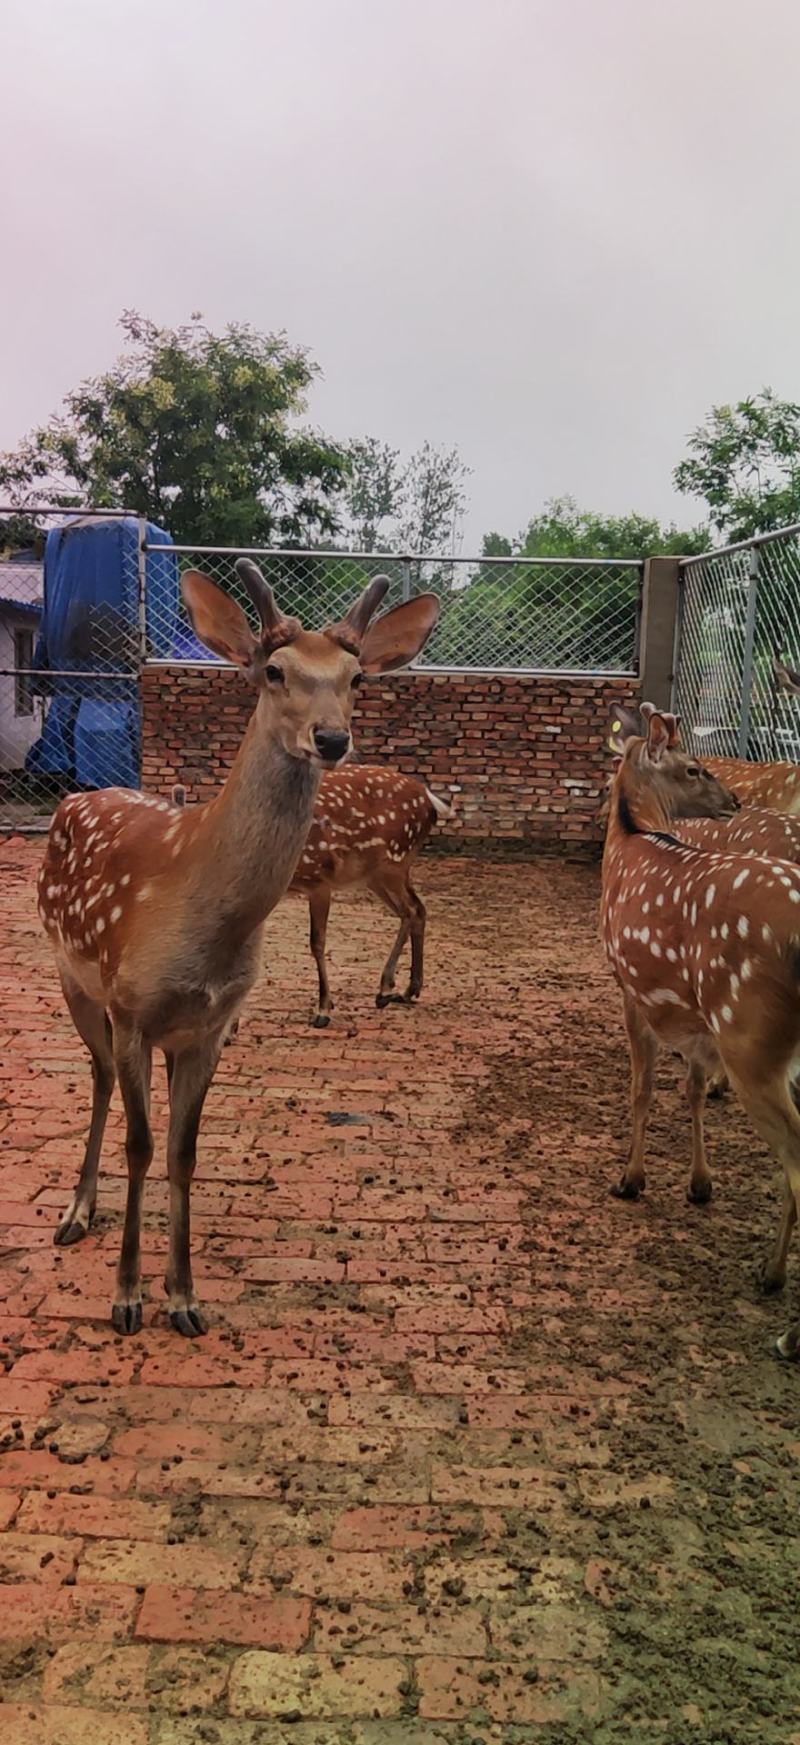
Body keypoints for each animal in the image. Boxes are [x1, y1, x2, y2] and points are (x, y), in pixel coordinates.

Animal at [36, 558, 436, 1333]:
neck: (205, 924)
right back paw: (75, 1211)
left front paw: (184, 1298)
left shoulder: (211, 1024)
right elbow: (142, 1145)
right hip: (72, 975)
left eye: (357, 678)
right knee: (97, 1079)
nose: (332, 739)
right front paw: (126, 1297)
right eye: (273, 670)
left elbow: (186, 1152)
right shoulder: (131, 1008)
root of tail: (76, 797)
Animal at [604, 701, 800, 1354]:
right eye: (693, 768)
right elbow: (689, 1090)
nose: (734, 801)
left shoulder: (631, 985)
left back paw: (787, 1328)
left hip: (752, 1040)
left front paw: (631, 1179)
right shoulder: (694, 1022)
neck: (627, 845)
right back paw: (769, 1273)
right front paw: (699, 1184)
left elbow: (641, 1089)